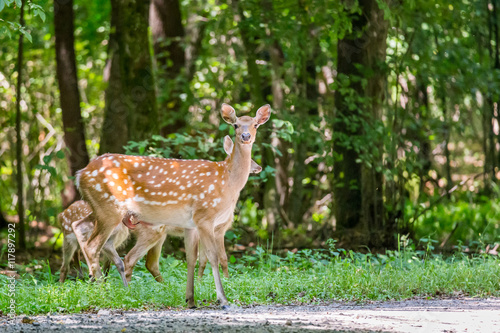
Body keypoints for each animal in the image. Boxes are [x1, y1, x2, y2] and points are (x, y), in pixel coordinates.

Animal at [75, 103, 270, 306]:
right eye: (236, 125)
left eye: (255, 124)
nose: (246, 136)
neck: (227, 180)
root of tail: (80, 174)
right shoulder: (205, 216)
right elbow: (213, 256)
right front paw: (222, 299)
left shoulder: (191, 224)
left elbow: (191, 259)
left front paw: (190, 300)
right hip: (110, 209)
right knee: (93, 246)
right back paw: (101, 294)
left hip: (104, 209)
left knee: (89, 234)